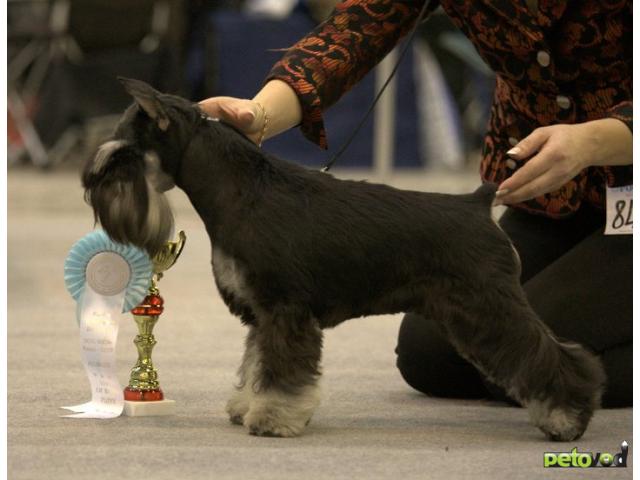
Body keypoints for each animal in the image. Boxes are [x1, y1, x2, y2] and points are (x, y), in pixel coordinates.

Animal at [81, 78, 604, 438]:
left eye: (124, 154)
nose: (91, 186)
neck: (239, 191)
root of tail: (478, 202)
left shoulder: (285, 310)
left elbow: (282, 372)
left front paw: (272, 419)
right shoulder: (262, 314)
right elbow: (255, 362)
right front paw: (245, 405)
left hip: (488, 306)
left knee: (547, 353)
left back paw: (568, 417)